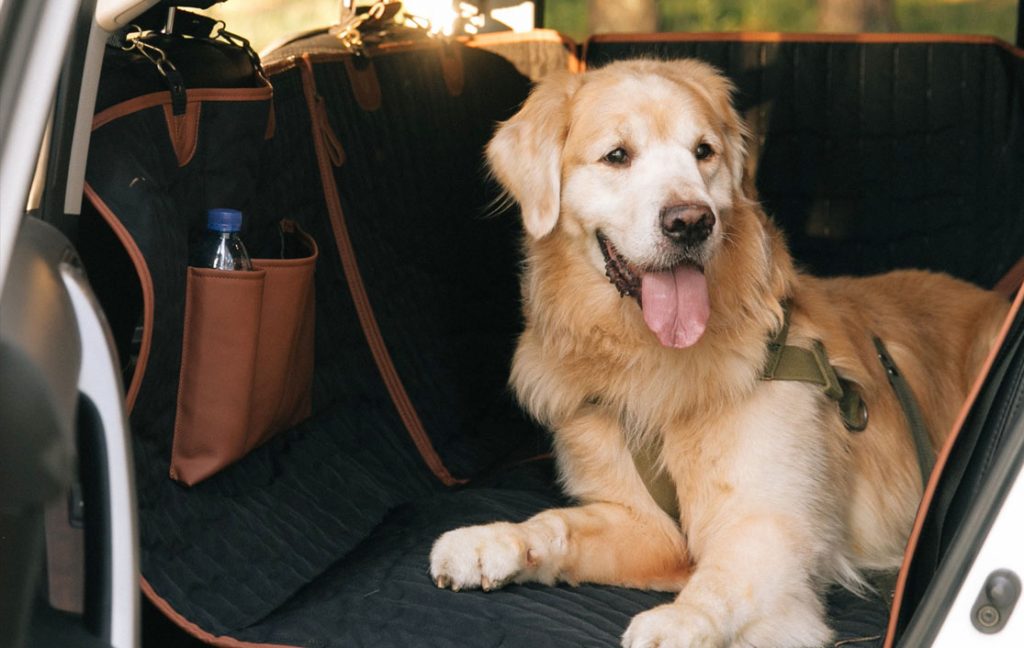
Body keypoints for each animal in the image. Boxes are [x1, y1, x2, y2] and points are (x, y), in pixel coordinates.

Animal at [425, 58, 1007, 642]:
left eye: (703, 151)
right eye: (617, 155)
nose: (690, 221)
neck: (651, 361)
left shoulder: (772, 524)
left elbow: (723, 581)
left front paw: (681, 622)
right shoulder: (644, 524)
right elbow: (557, 524)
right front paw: (490, 540)